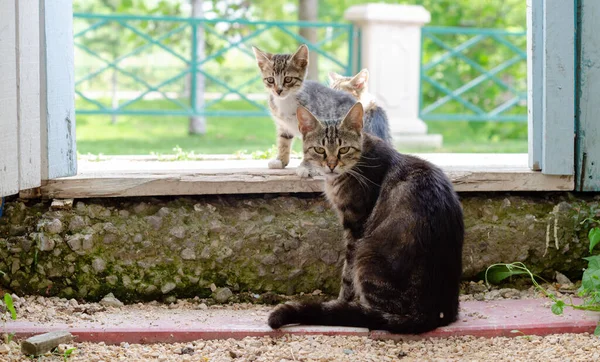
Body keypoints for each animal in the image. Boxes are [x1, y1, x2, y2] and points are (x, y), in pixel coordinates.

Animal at [251, 44, 392, 177]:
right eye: (270, 80)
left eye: (288, 79)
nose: (278, 91)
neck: (286, 101)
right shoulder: (283, 125)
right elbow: (283, 141)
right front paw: (280, 160)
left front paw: (306, 167)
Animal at [268, 102, 464, 334]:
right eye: (319, 149)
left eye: (343, 149)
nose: (331, 165)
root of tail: (433, 311)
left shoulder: (355, 225)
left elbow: (347, 274)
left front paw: (340, 303)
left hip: (367, 253)